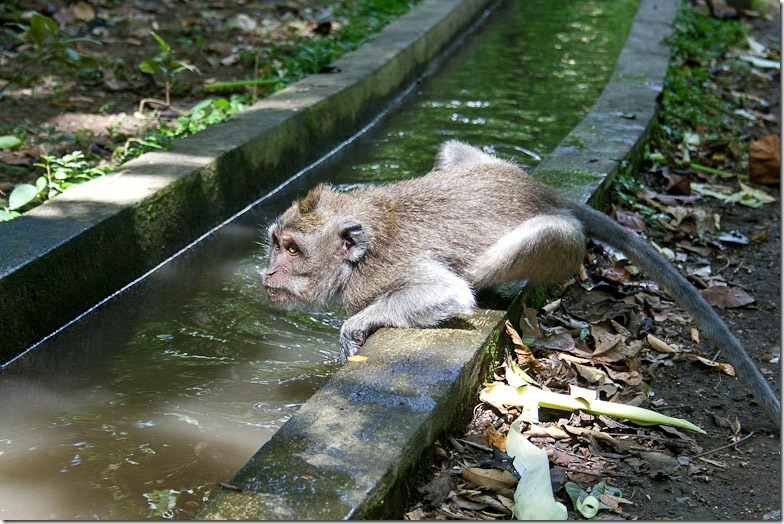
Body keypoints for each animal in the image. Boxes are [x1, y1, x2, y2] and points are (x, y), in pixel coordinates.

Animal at [262, 141, 776, 428]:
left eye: (292, 250)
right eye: (274, 244)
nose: (266, 273)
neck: (358, 255)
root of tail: (546, 191)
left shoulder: (384, 273)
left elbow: (445, 292)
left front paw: (354, 327)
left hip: (561, 243)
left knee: (500, 259)